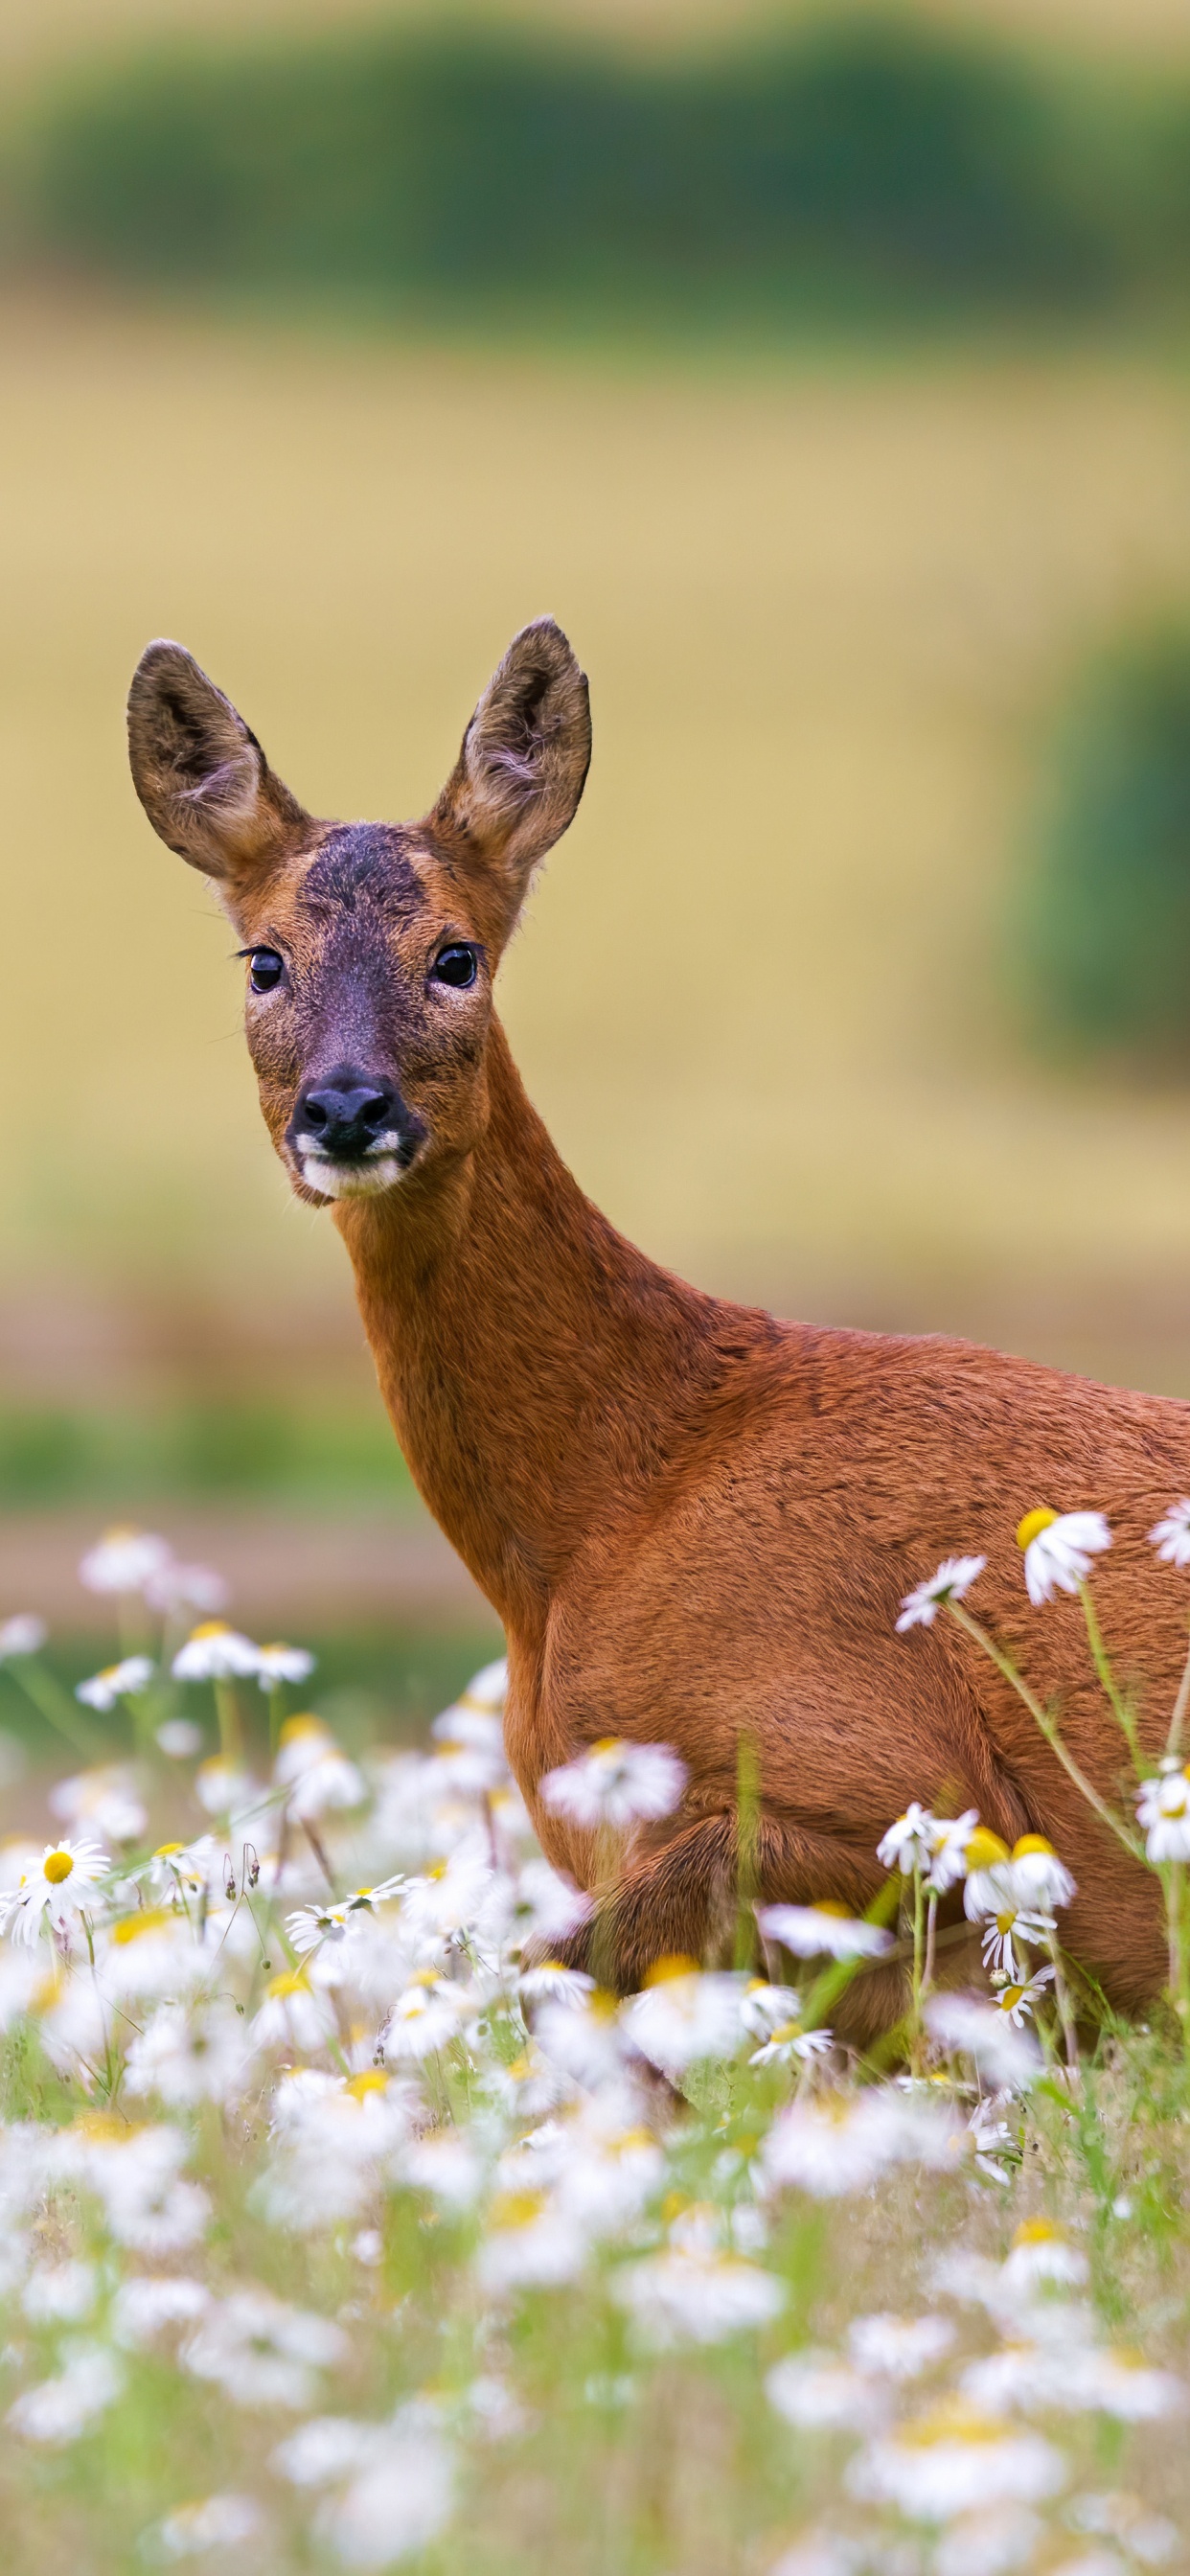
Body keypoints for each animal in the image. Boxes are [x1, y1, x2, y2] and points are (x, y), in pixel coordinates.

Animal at [128, 617, 1190, 2036]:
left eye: (456, 956)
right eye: (263, 961)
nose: (346, 1108)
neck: (610, 1508)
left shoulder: (908, 1790)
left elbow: (551, 1983)